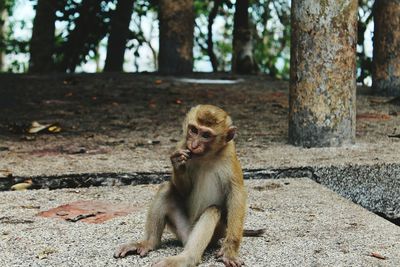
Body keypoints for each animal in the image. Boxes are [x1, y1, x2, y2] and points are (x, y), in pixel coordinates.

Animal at [114, 105, 255, 267]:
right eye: (193, 130)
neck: (207, 156)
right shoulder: (181, 145)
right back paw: (148, 243)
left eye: (206, 135)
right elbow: (183, 190)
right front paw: (177, 164)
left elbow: (236, 195)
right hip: (181, 229)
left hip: (215, 234)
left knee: (213, 210)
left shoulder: (229, 154)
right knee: (166, 188)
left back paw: (186, 258)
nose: (193, 145)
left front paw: (230, 250)